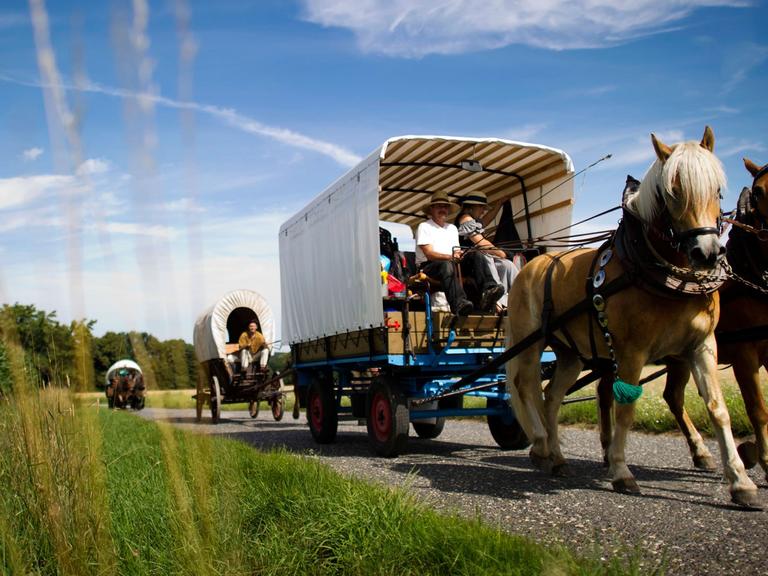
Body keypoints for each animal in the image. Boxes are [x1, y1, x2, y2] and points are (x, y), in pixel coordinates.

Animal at [504, 127, 760, 508]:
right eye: (673, 192)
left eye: (717, 189)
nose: (707, 253)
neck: (664, 275)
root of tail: (531, 264)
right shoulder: (631, 351)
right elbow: (625, 408)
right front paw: (621, 471)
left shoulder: (702, 346)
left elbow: (718, 407)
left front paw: (740, 481)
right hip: (529, 342)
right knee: (526, 386)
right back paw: (539, 444)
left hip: (570, 354)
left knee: (551, 395)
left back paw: (557, 457)